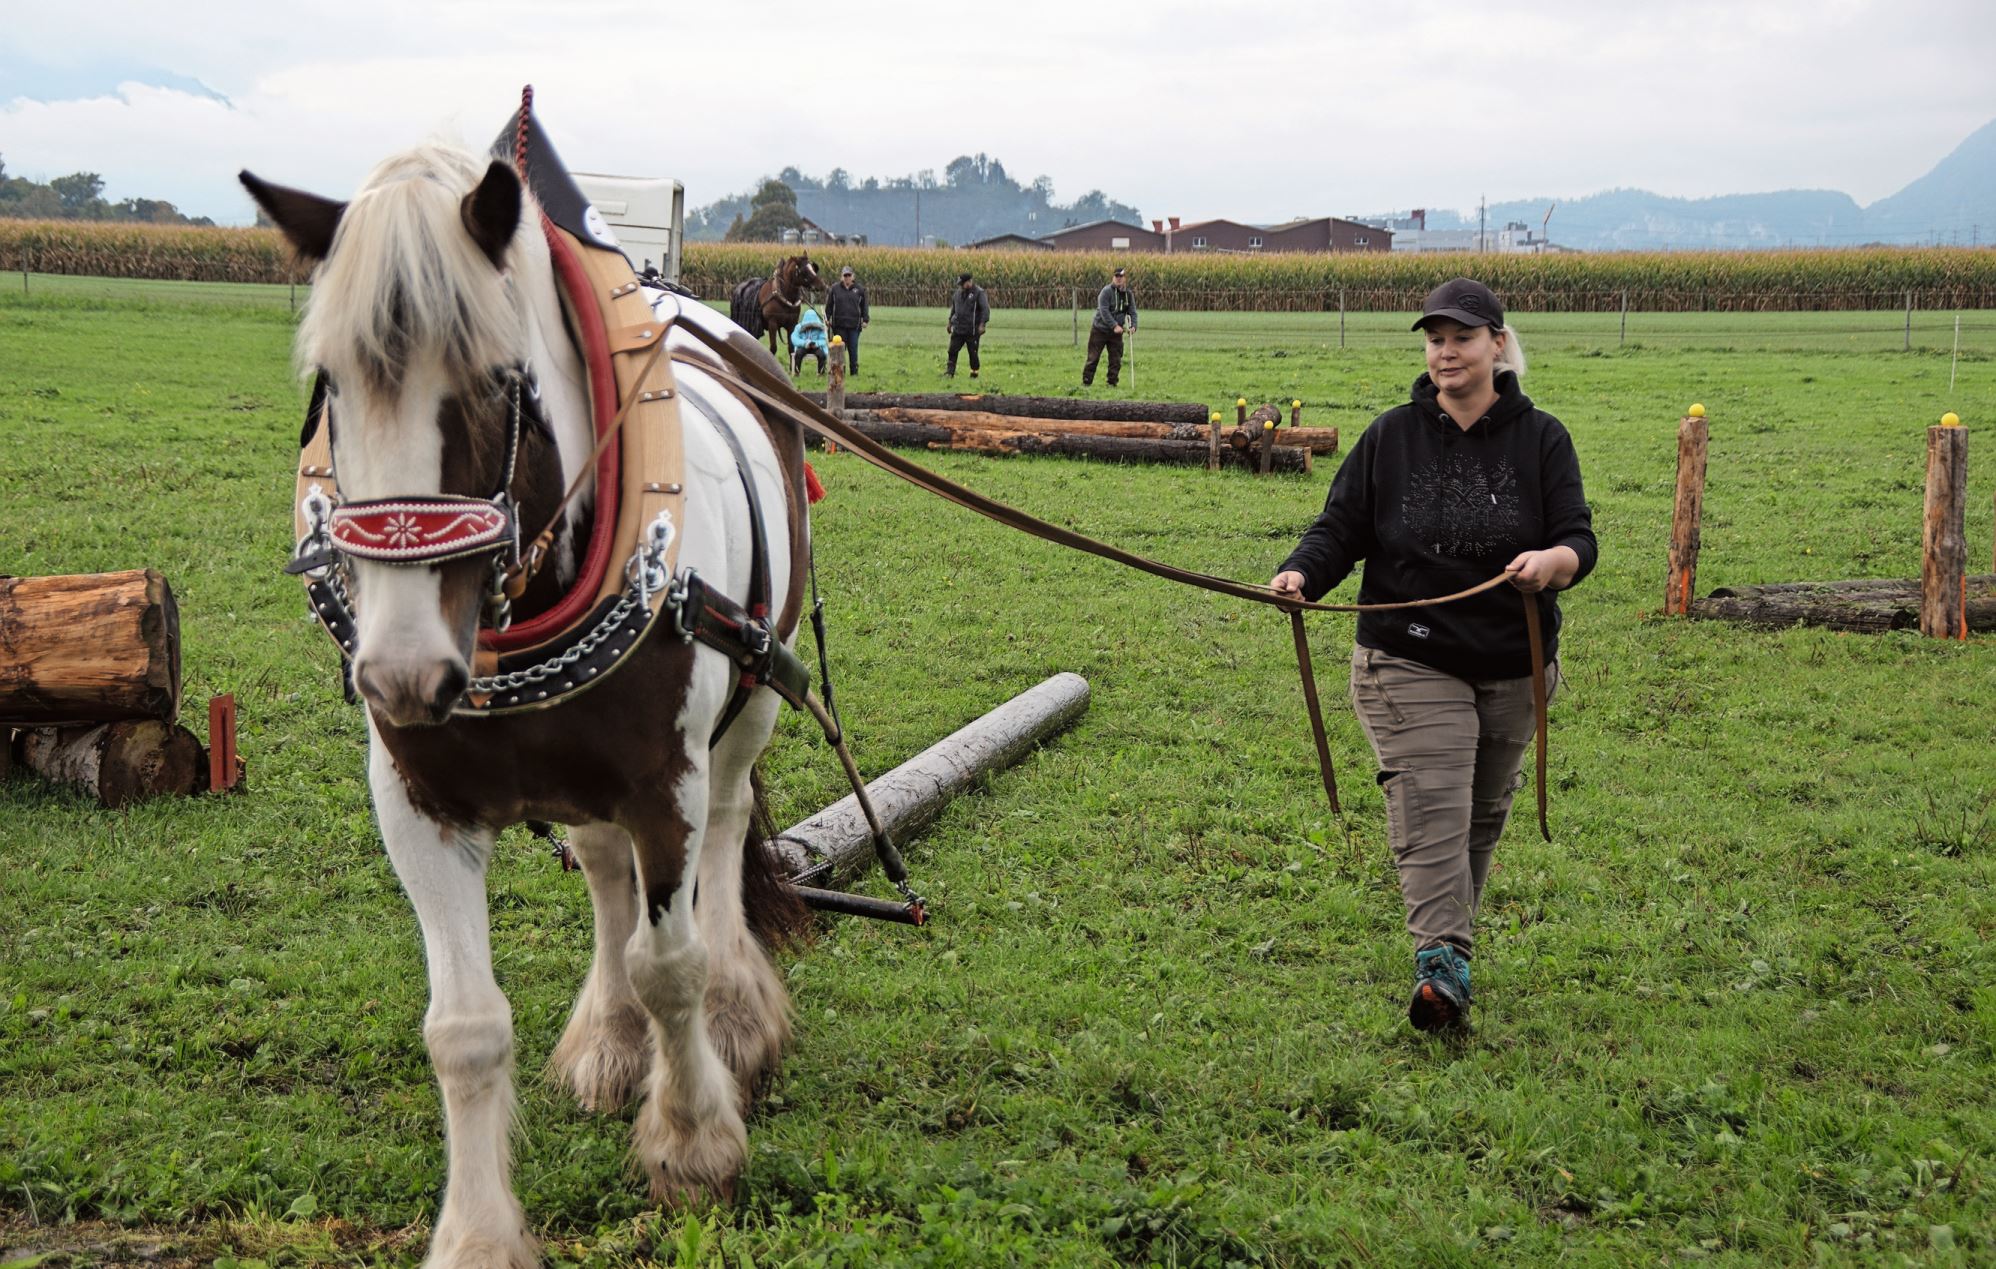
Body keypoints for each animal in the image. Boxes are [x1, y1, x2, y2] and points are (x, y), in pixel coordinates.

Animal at [245, 143, 806, 1261]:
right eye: (329, 383)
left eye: (500, 382)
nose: (401, 673)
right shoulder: (416, 800)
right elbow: (464, 1026)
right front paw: (476, 1232)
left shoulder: (664, 781)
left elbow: (669, 962)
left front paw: (693, 1142)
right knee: (601, 870)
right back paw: (610, 1040)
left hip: (755, 699)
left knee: (728, 832)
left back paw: (736, 1017)